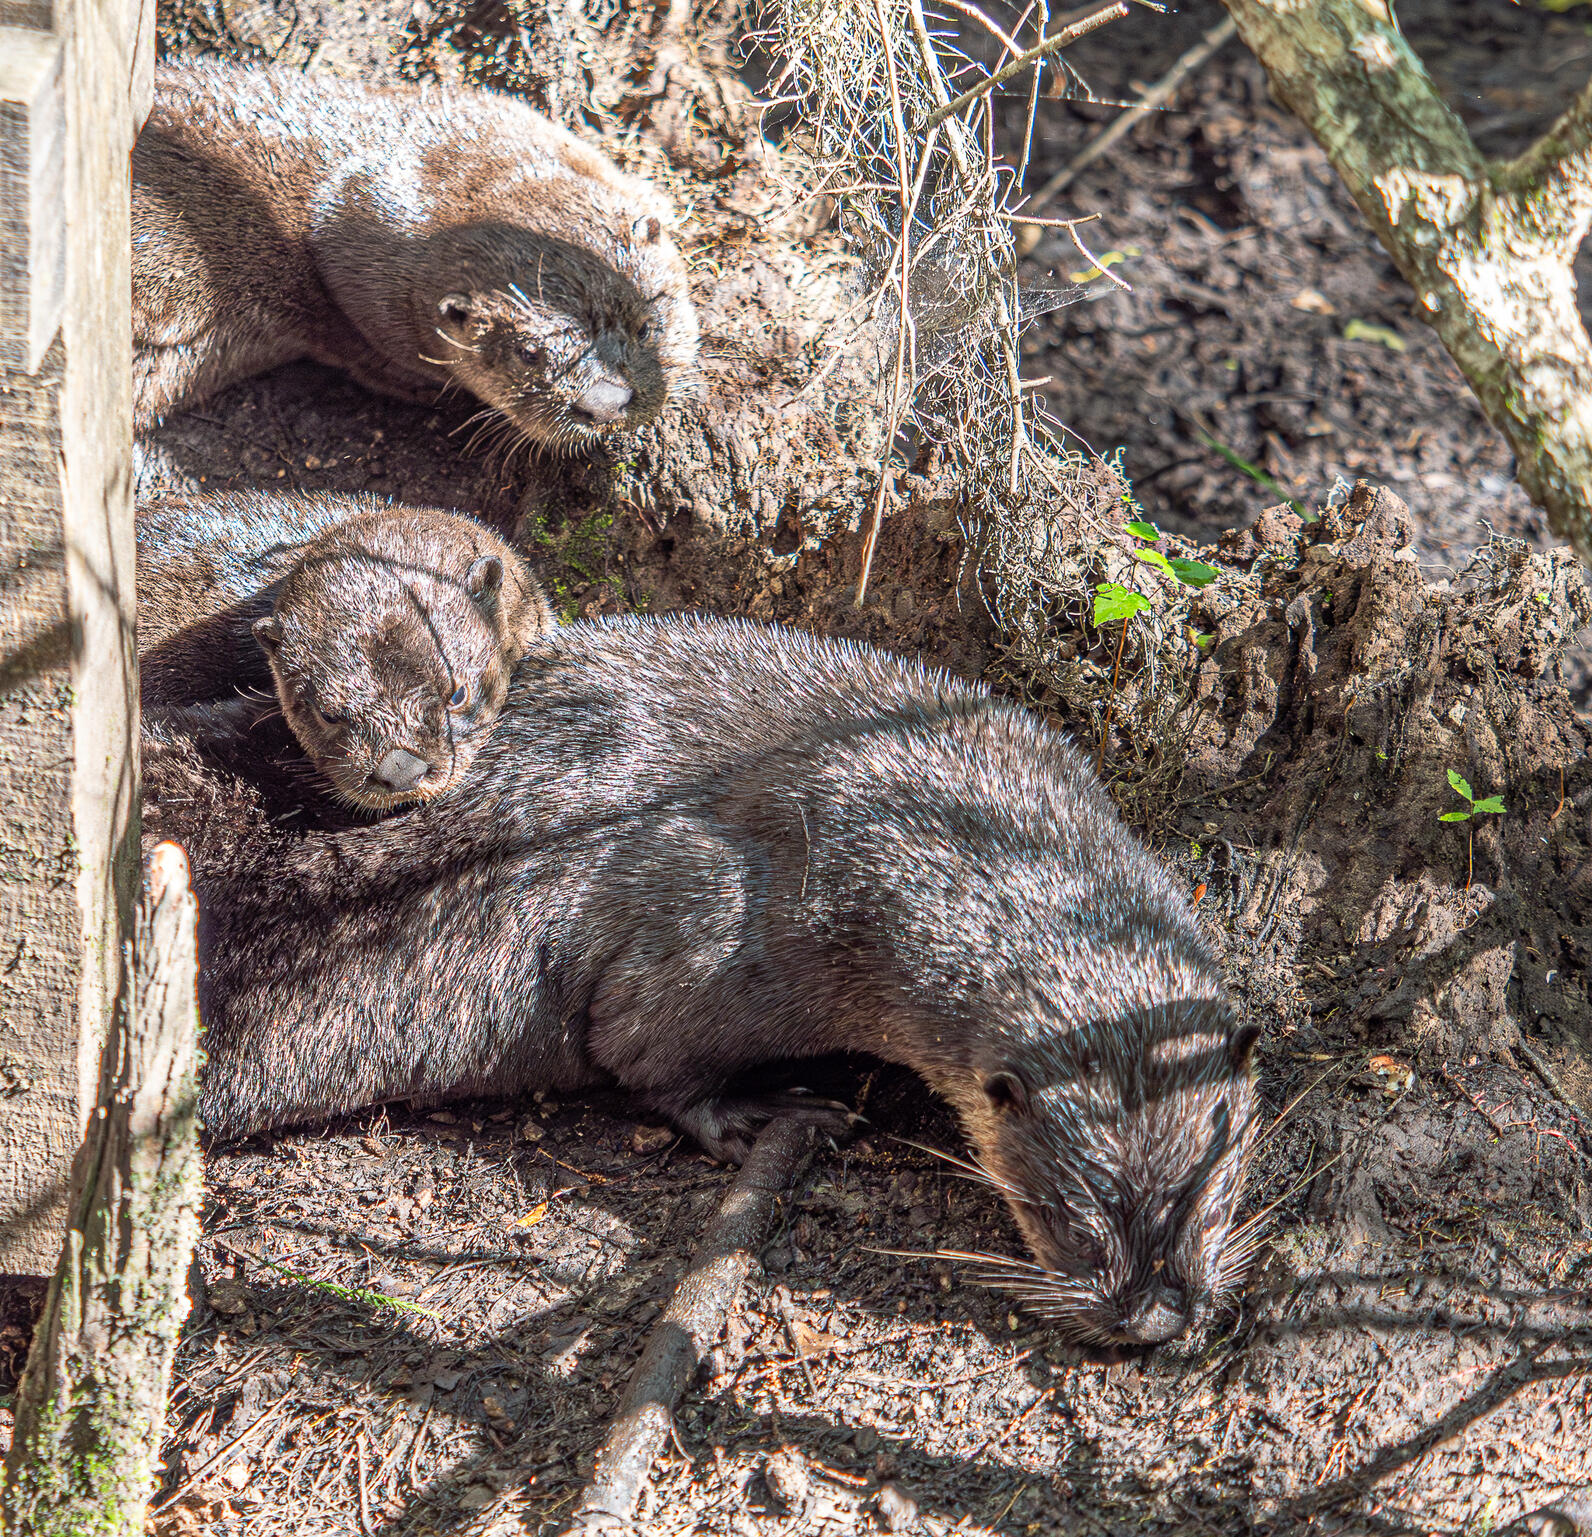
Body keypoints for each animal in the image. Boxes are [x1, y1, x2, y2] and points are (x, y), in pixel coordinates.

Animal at [149, 611, 1260, 1344]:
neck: (946, 820)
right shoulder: (736, 929)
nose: (1157, 1313)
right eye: (1080, 1207)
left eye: (1203, 1183)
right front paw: (771, 1112)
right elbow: (639, 1051)